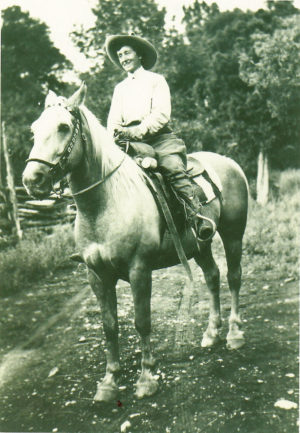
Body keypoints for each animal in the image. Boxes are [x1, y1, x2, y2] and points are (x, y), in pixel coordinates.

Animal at [22, 82, 248, 400]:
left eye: (64, 127)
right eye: (34, 129)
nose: (32, 179)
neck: (106, 202)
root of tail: (229, 163)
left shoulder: (139, 270)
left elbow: (142, 321)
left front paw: (146, 377)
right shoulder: (97, 275)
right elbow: (109, 326)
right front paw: (109, 381)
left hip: (233, 235)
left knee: (234, 277)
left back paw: (234, 334)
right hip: (199, 245)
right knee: (213, 277)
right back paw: (211, 333)